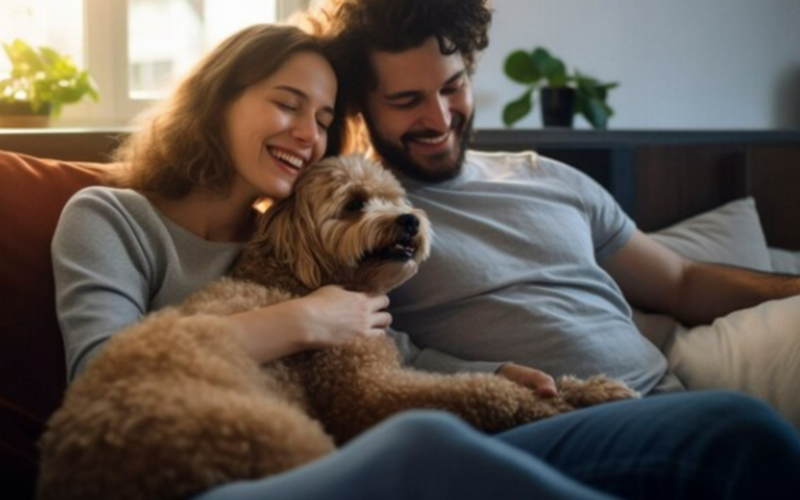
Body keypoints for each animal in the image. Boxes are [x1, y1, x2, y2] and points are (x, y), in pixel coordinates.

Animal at [36, 154, 636, 500]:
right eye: (353, 204)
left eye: (396, 197)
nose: (410, 221)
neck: (294, 277)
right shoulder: (369, 390)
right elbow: (475, 390)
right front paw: (543, 405)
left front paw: (588, 389)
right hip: (284, 440)